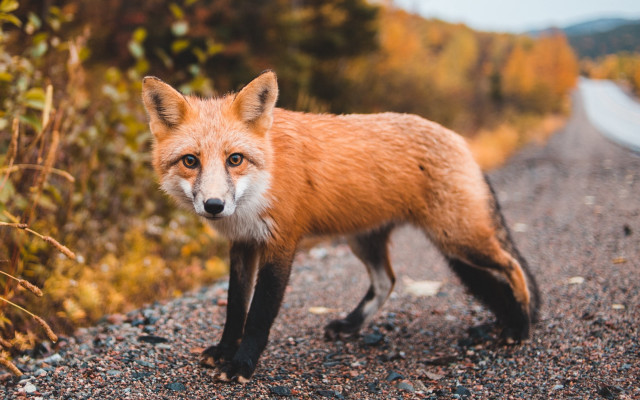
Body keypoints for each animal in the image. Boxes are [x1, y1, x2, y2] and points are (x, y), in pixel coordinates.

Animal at [141, 70, 540, 383]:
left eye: (234, 159)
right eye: (190, 161)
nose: (214, 206)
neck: (265, 178)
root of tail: (459, 139)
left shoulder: (281, 243)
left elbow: (258, 315)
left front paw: (242, 364)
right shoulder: (242, 244)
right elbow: (235, 308)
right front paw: (225, 350)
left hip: (458, 239)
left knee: (513, 267)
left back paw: (520, 326)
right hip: (367, 241)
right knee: (386, 281)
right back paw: (351, 325)